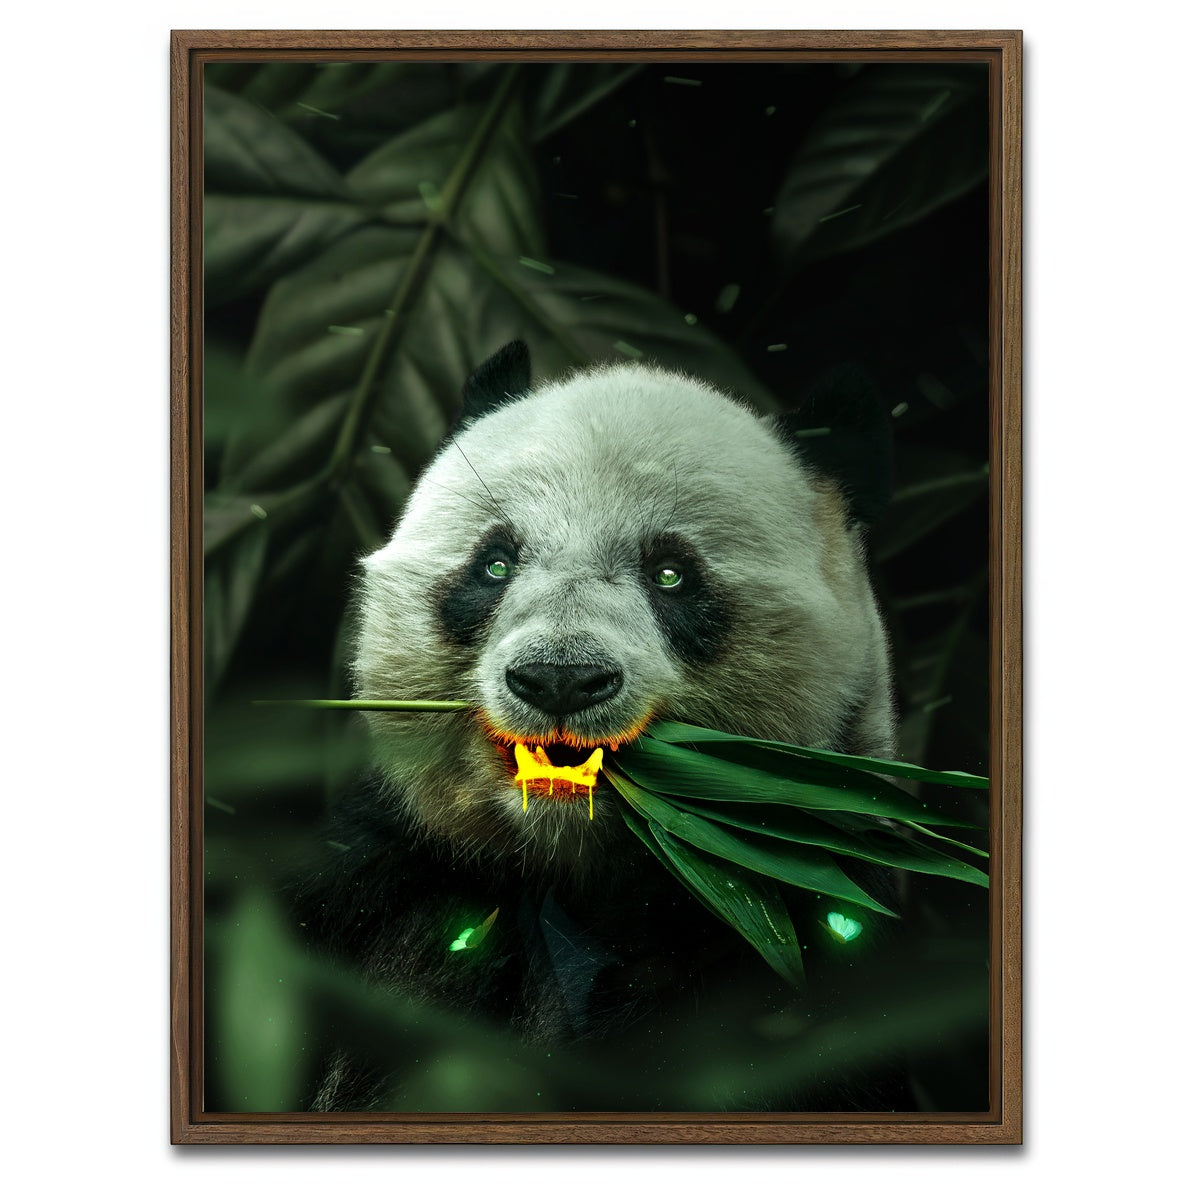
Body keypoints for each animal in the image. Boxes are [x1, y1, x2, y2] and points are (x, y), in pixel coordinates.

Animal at [297, 340, 898, 1110]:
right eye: (495, 563)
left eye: (671, 574)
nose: (559, 678)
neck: (577, 867)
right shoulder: (387, 871)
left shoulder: (800, 926)